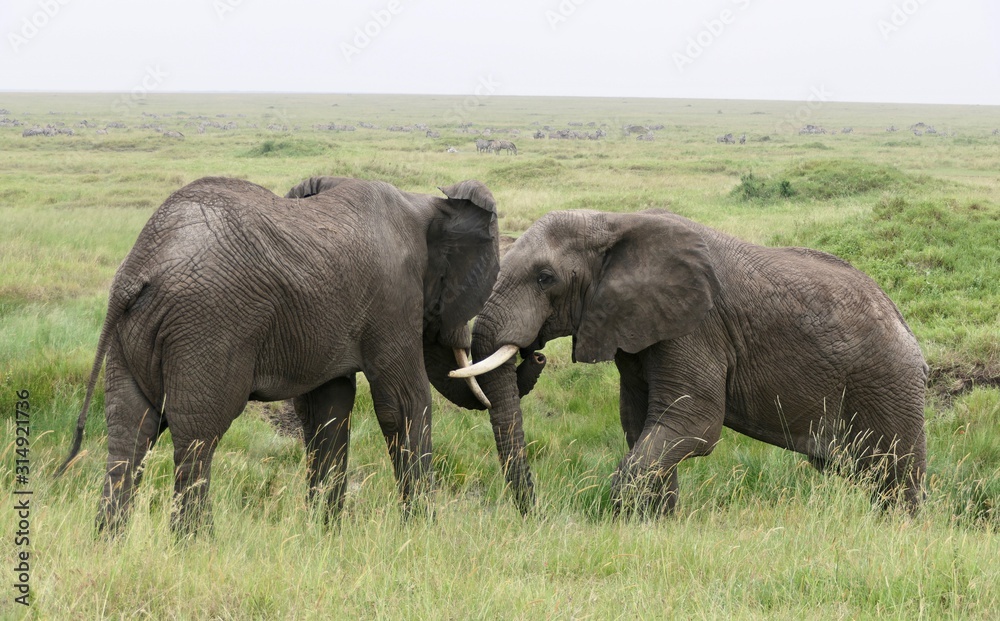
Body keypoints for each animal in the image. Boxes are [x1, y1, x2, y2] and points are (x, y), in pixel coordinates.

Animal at [57, 174, 536, 534]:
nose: (537, 359)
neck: (423, 203)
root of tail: (138, 270)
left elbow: (328, 407)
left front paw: (325, 532)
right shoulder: (393, 297)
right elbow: (403, 402)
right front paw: (421, 532)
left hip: (133, 334)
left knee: (129, 429)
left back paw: (109, 542)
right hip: (208, 326)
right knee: (196, 433)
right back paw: (193, 544)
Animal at [453, 208, 928, 516]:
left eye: (545, 278)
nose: (534, 513)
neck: (612, 220)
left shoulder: (697, 326)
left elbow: (691, 422)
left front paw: (622, 519)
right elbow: (642, 421)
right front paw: (655, 523)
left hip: (890, 385)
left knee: (895, 473)